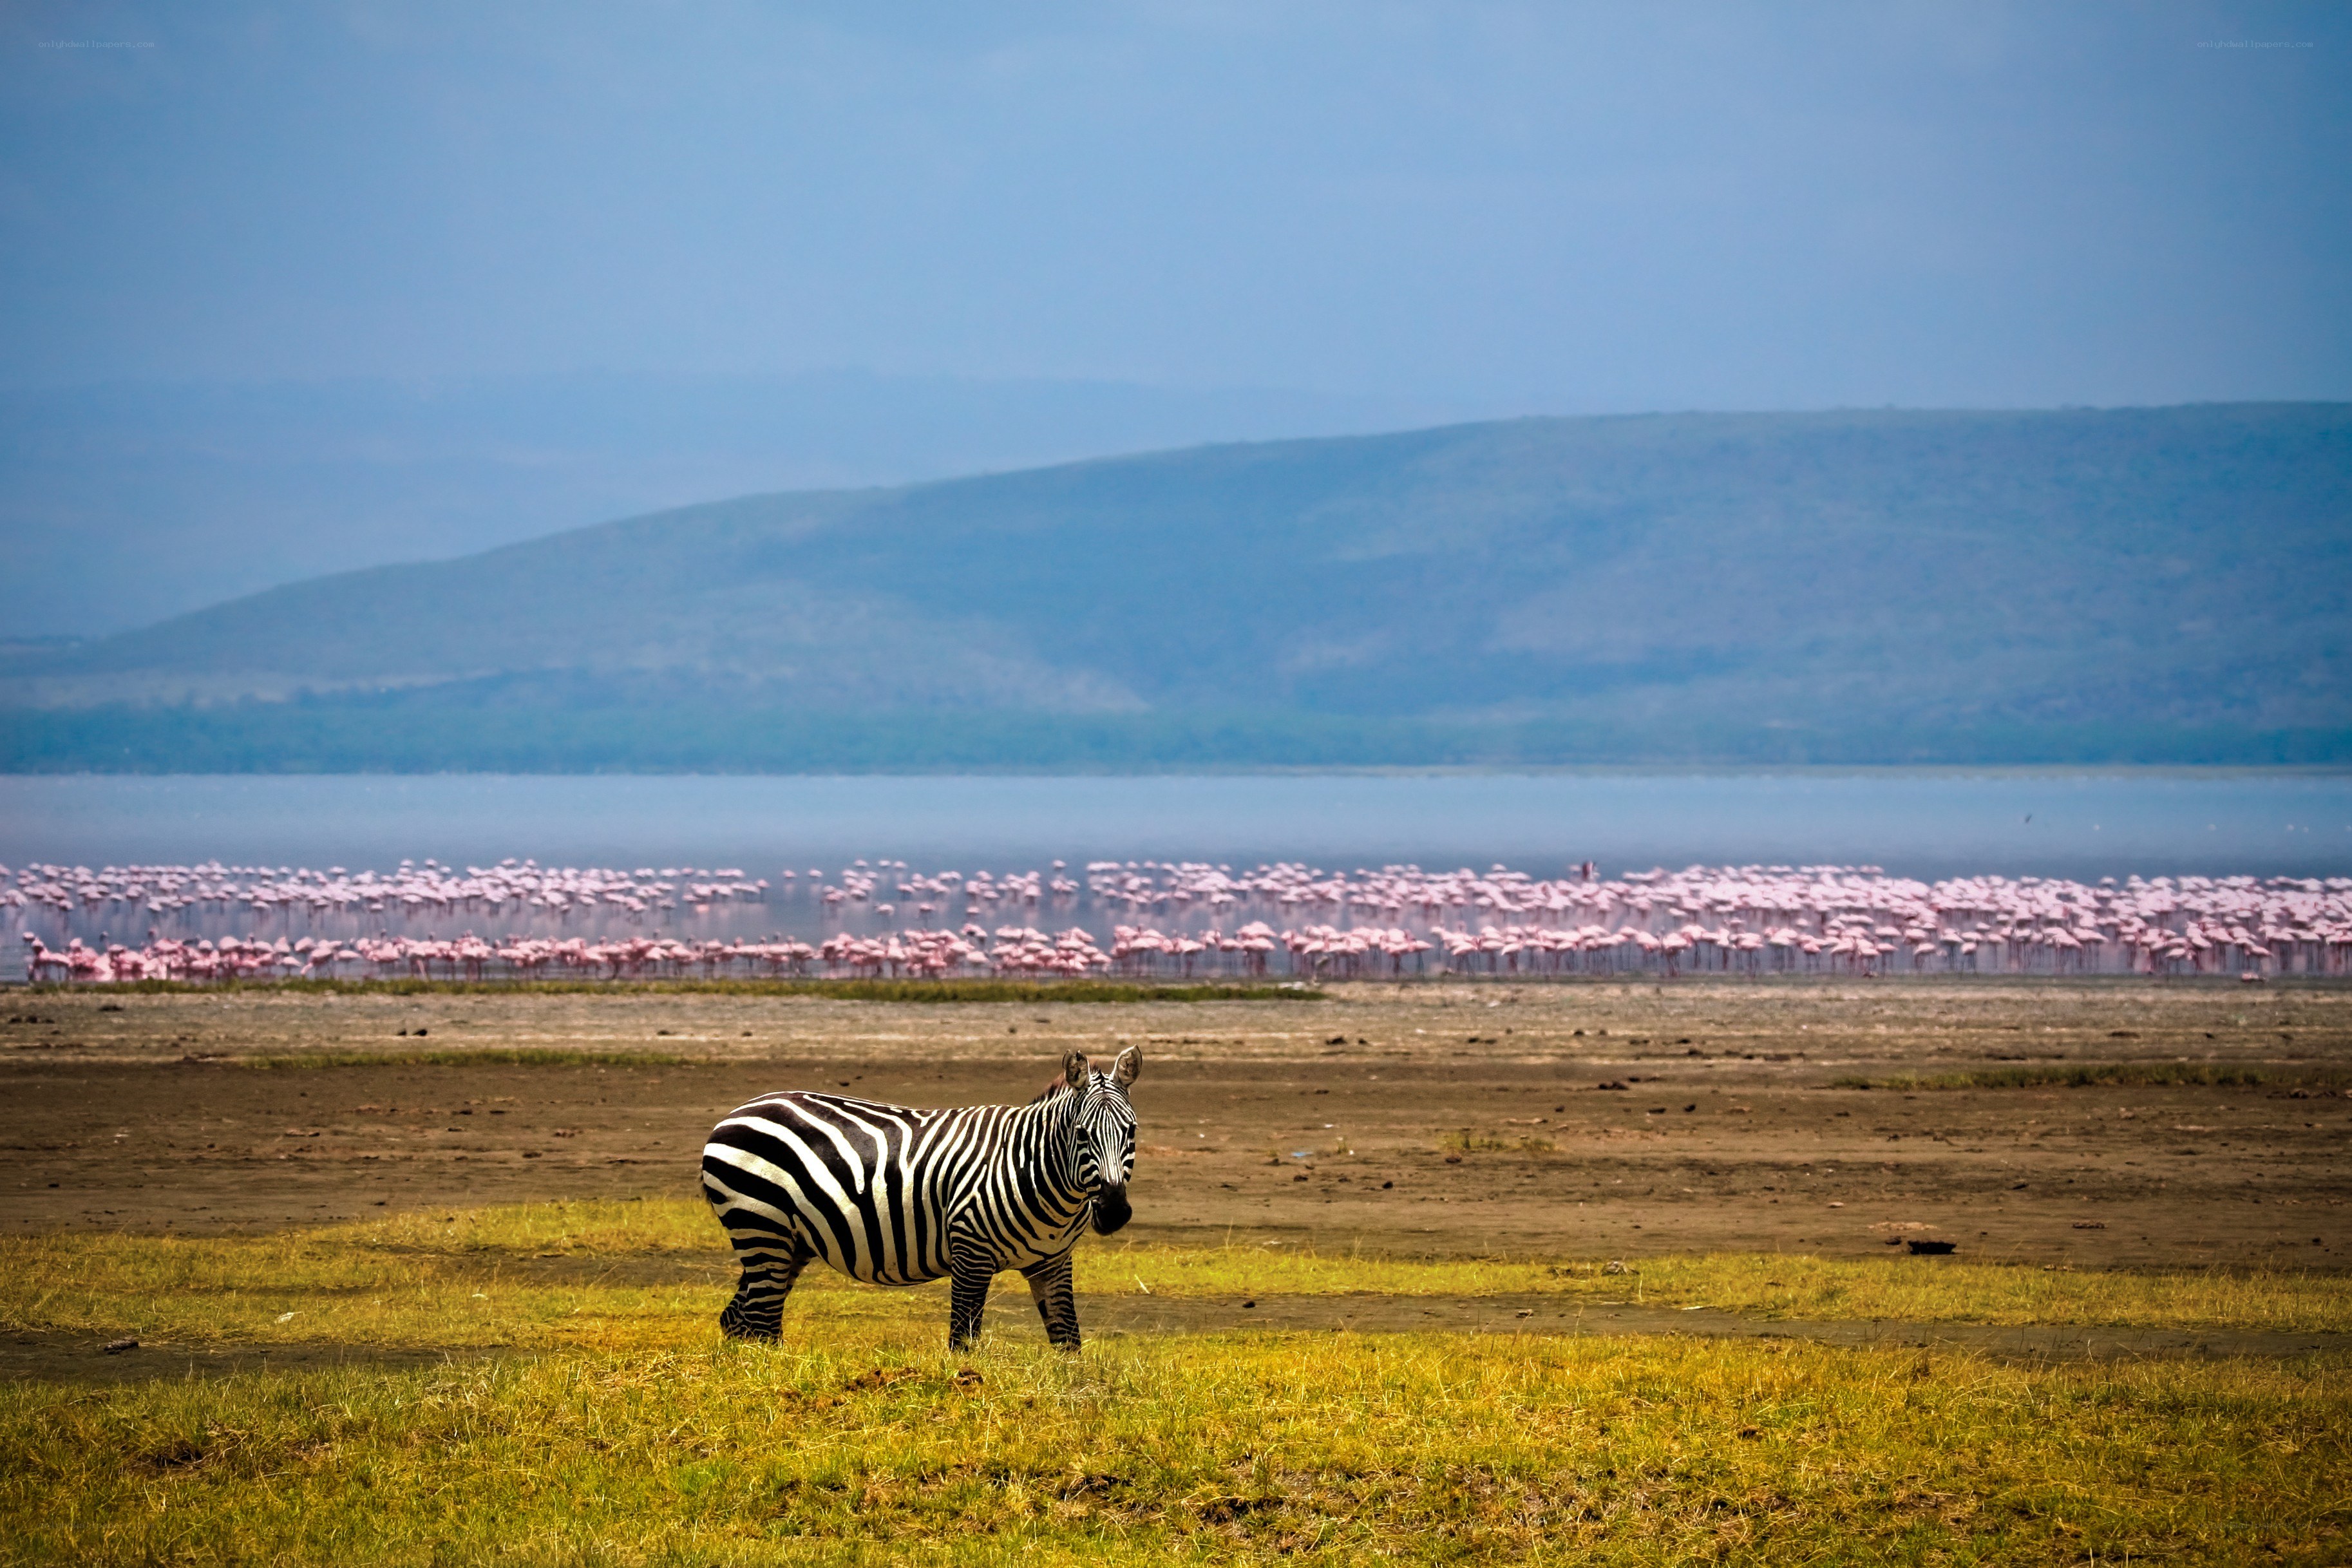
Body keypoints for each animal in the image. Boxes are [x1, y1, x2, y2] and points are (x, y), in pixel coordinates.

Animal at [700, 1046, 1141, 1350]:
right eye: (1082, 1135)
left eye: (1132, 1131)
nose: (1114, 1212)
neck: (1036, 1171)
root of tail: (734, 1114)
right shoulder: (970, 1252)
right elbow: (963, 1342)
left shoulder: (1052, 1263)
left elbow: (1069, 1342)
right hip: (760, 1225)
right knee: (761, 1323)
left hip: (788, 1240)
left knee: (738, 1318)